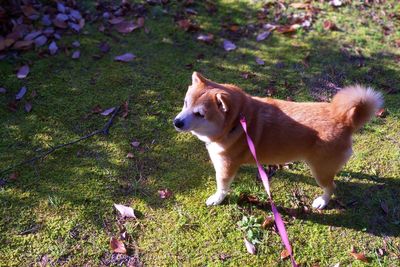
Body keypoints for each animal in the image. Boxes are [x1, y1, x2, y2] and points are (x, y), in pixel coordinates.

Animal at [173, 72, 382, 210]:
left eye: (200, 114)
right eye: (185, 103)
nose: (176, 122)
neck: (236, 122)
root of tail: (345, 120)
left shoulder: (226, 167)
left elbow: (222, 186)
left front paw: (217, 199)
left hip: (320, 171)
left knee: (331, 186)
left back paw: (322, 201)